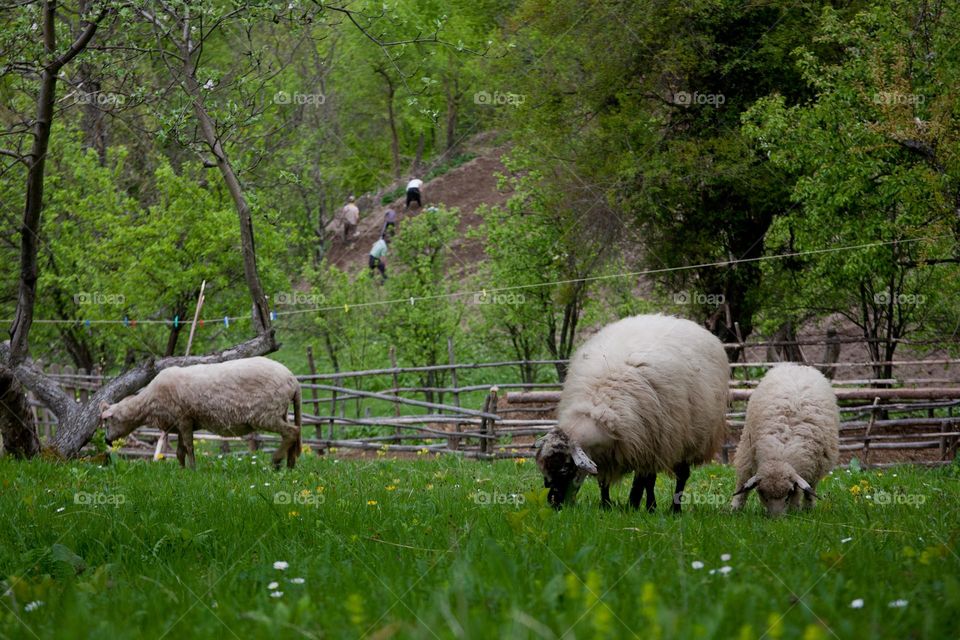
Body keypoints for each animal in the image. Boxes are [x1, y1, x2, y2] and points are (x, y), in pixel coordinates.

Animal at [100, 357, 302, 469]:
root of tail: (293, 380)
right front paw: (182, 471)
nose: (107, 441)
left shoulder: (184, 419)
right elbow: (180, 451)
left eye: (107, 422)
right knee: (293, 434)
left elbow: (189, 447)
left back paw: (276, 461)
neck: (148, 404)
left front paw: (193, 470)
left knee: (292, 432)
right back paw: (290, 465)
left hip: (266, 414)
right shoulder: (179, 423)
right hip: (281, 411)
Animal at [535, 314, 730, 513]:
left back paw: (672, 509)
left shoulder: (648, 445)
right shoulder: (609, 453)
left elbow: (642, 481)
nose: (553, 502)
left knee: (680, 475)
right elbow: (604, 481)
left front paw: (635, 506)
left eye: (565, 469)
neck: (598, 404)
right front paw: (606, 505)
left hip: (688, 439)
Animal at [731, 363, 839, 516]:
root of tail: (798, 366)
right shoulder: (747, 453)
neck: (781, 450)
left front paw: (802, 509)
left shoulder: (817, 466)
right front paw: (735, 508)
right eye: (763, 494)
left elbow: (809, 489)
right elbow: (742, 482)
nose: (776, 519)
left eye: (788, 494)